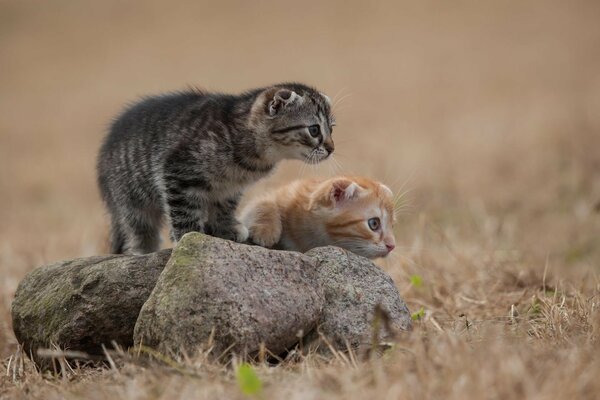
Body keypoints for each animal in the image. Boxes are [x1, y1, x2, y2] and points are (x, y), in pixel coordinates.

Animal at [96, 83, 336, 255]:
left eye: (332, 128)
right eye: (314, 130)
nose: (331, 149)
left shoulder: (230, 186)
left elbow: (225, 206)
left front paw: (226, 228)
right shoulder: (177, 171)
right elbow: (183, 210)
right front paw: (188, 236)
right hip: (131, 197)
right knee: (138, 229)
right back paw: (143, 249)